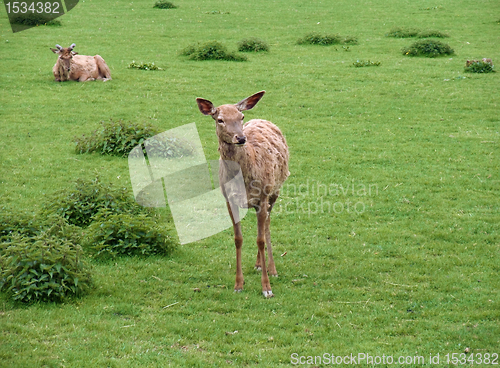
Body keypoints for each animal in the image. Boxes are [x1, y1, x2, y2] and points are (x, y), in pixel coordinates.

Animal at [196, 90, 290, 298]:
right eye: (220, 119)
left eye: (241, 117)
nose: (240, 138)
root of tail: (263, 119)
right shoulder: (229, 200)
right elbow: (238, 239)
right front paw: (238, 284)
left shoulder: (262, 197)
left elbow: (260, 239)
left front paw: (267, 288)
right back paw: (257, 264)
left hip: (275, 191)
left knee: (267, 225)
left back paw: (272, 268)